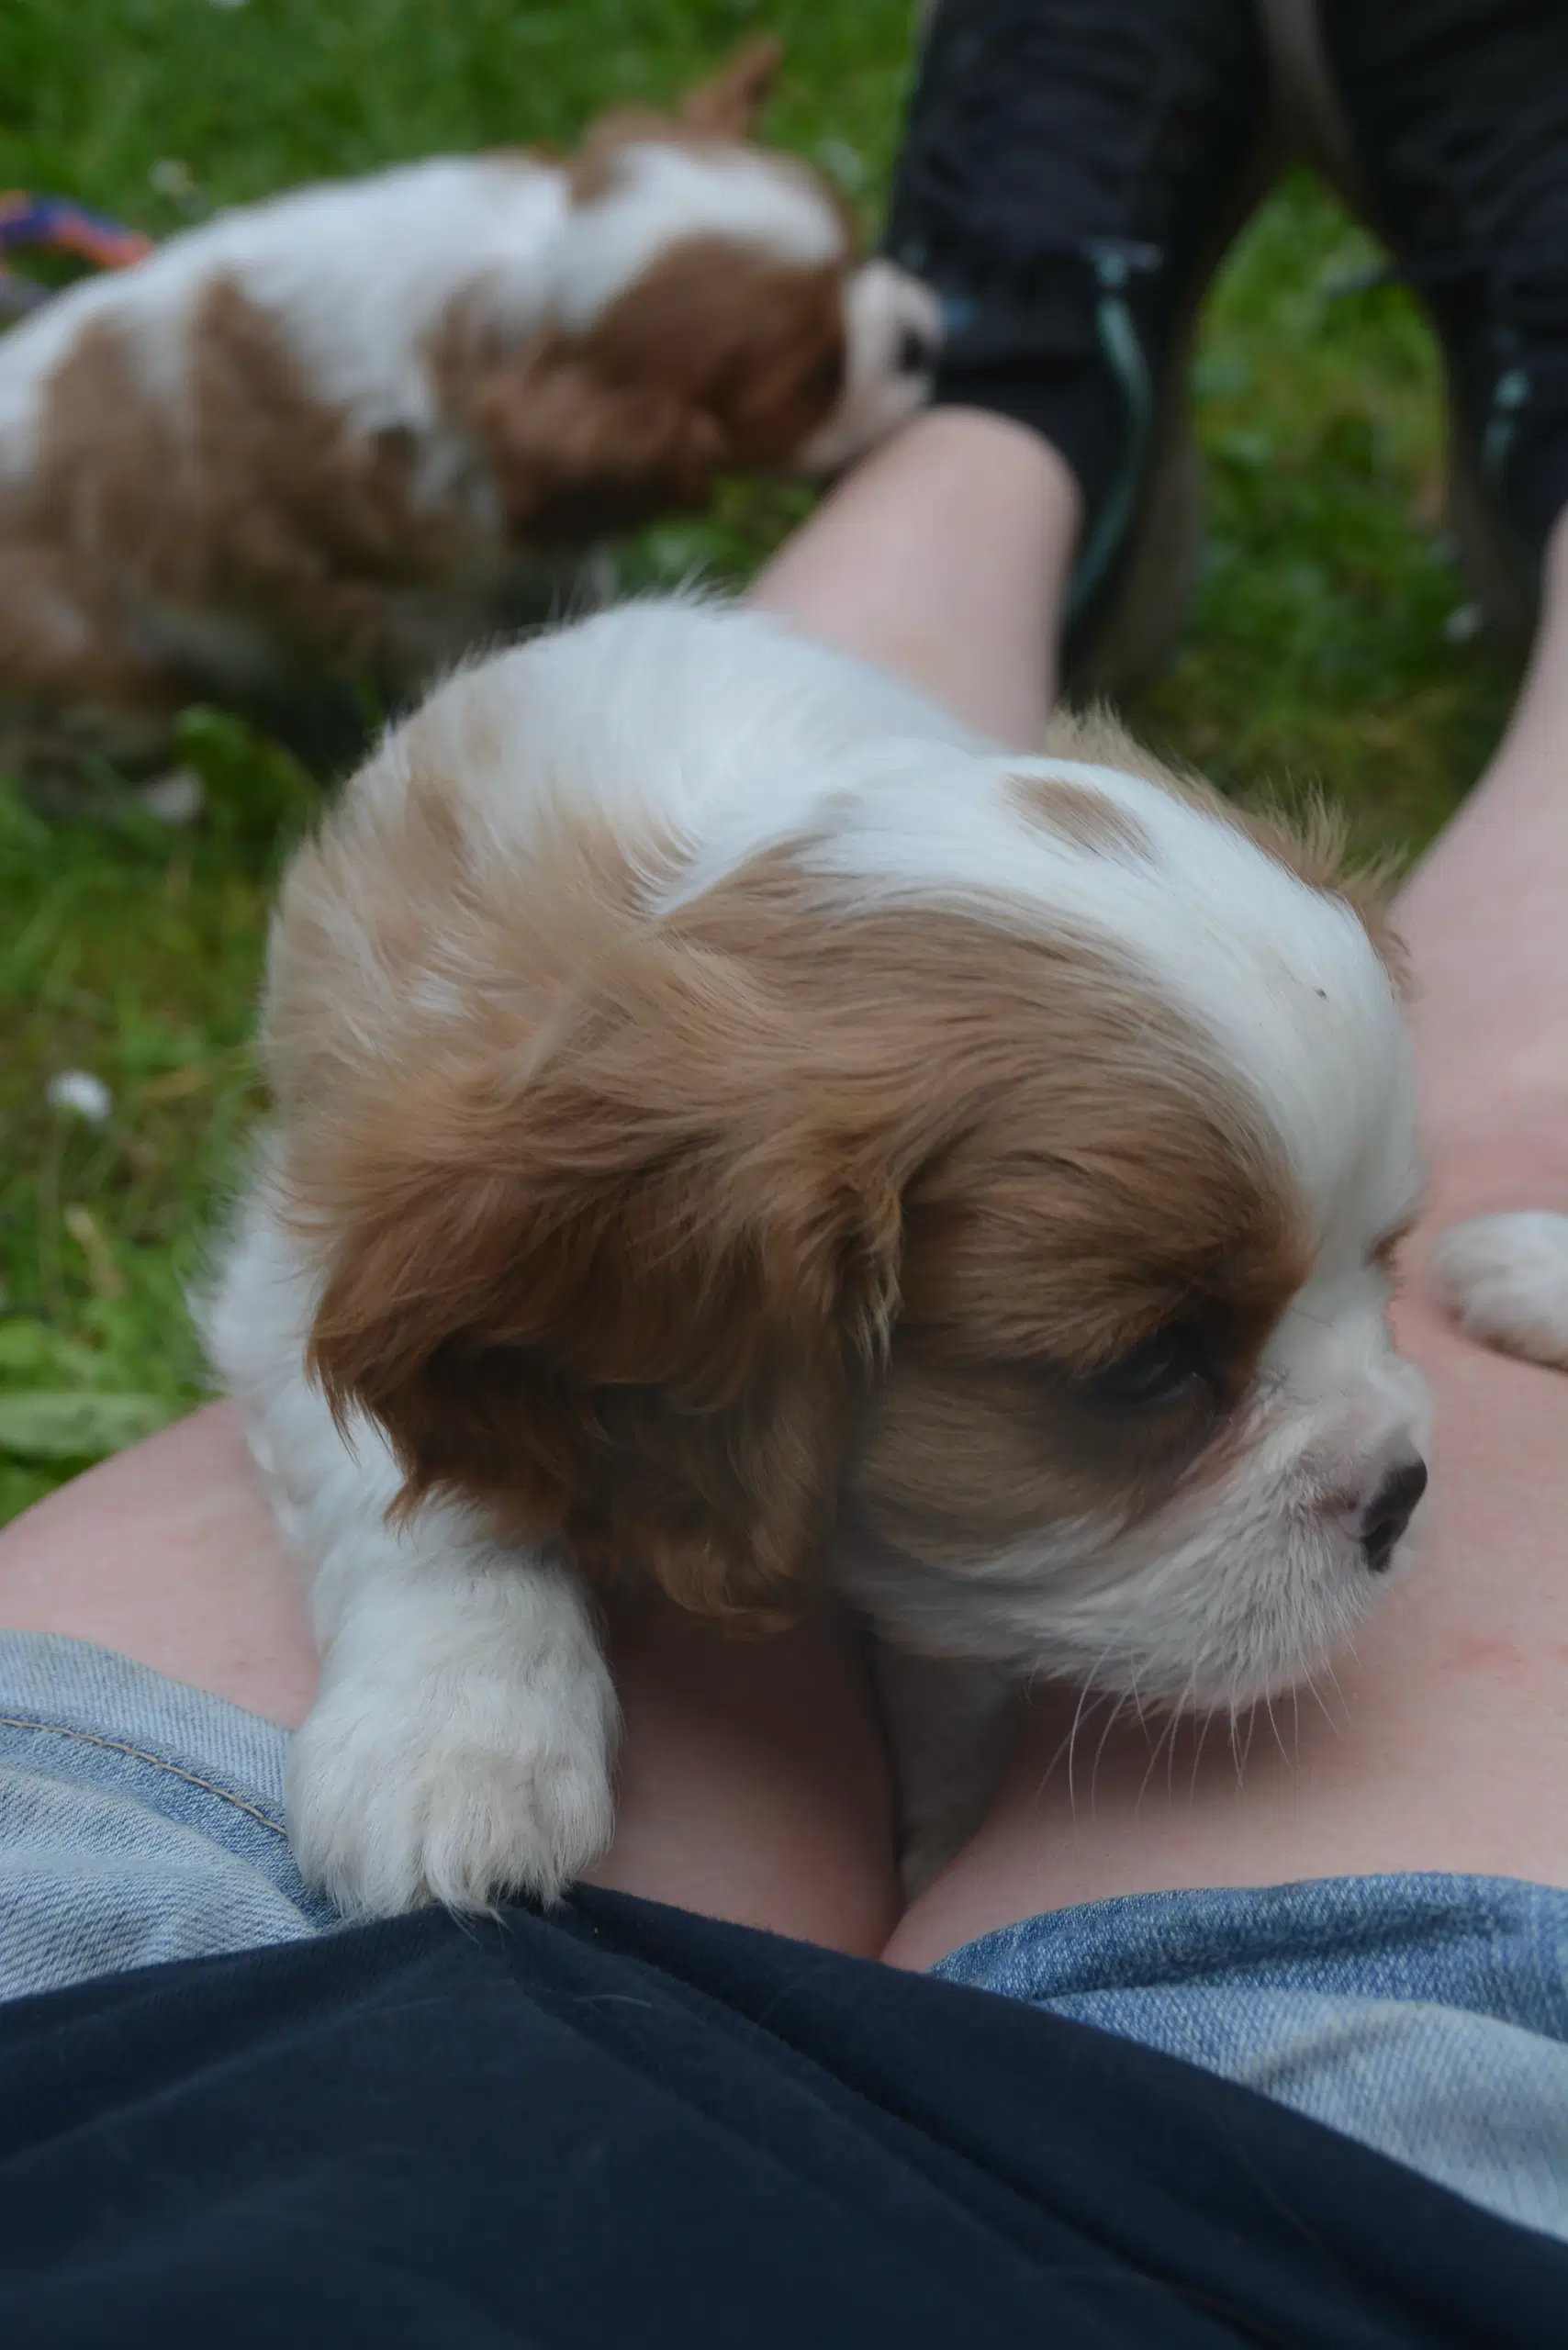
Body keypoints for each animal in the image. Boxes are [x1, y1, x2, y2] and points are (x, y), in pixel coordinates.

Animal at [207, 592, 1439, 1908]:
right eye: (1147, 1367)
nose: (1401, 1491)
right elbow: (419, 1483)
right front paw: (458, 1739)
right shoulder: (312, 1244)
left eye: (1384, 1262)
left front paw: (945, 1807)